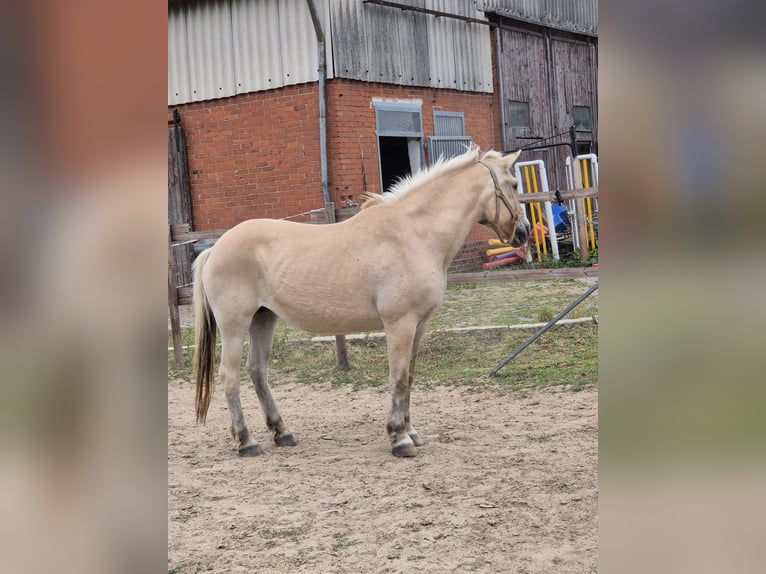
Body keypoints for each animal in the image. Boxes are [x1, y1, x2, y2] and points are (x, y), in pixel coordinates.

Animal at [192, 146, 530, 457]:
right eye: (514, 184)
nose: (524, 233)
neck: (413, 235)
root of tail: (215, 248)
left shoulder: (419, 326)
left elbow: (409, 377)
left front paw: (411, 431)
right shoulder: (399, 324)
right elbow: (398, 378)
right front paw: (399, 438)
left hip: (263, 319)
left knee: (257, 371)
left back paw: (282, 433)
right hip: (235, 325)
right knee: (230, 376)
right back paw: (246, 441)